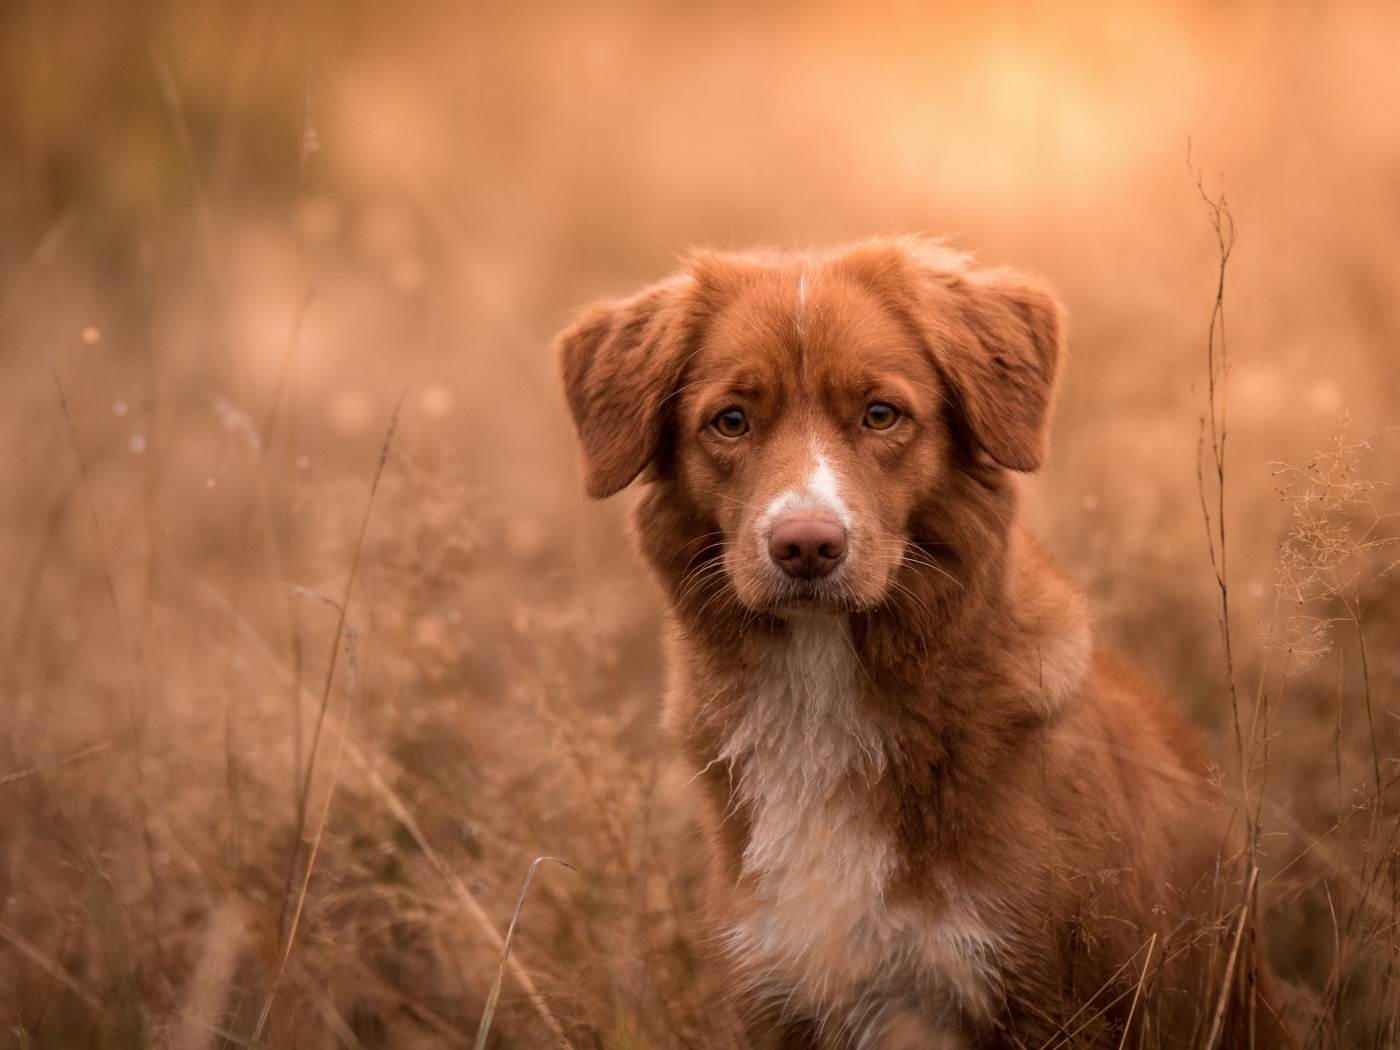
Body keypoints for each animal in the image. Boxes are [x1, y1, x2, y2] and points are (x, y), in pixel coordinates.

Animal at [554, 240, 1288, 1050]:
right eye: (731, 421)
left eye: (881, 415)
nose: (806, 546)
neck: (824, 686)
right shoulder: (776, 990)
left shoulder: (1049, 995)